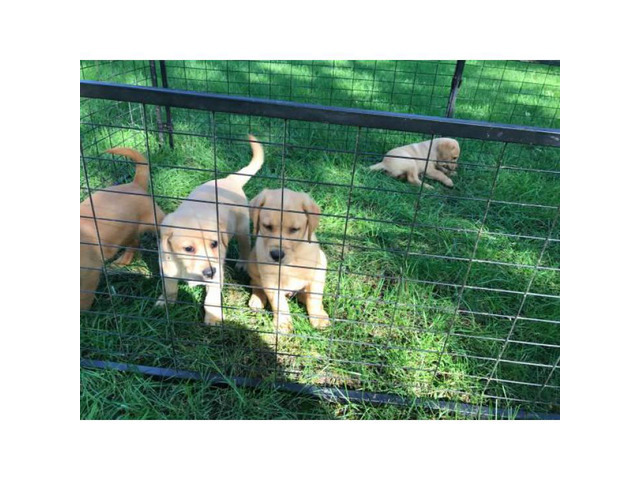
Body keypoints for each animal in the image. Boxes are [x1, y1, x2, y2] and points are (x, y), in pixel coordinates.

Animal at [80, 148, 166, 310]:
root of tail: (135, 184)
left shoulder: (90, 274)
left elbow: (84, 298)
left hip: (155, 221)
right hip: (124, 232)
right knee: (134, 243)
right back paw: (121, 262)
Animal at [156, 133, 264, 324]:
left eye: (214, 244)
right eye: (188, 249)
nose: (209, 271)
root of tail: (229, 179)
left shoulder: (217, 274)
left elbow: (211, 300)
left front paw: (213, 318)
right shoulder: (167, 268)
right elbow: (170, 288)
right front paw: (165, 302)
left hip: (242, 227)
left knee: (244, 245)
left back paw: (242, 263)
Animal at [248, 188, 330, 334]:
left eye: (294, 230)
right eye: (267, 226)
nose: (276, 255)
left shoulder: (317, 273)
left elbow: (315, 298)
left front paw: (318, 317)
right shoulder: (271, 280)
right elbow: (279, 304)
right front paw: (283, 324)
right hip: (252, 261)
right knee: (255, 283)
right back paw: (257, 299)